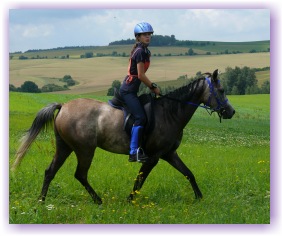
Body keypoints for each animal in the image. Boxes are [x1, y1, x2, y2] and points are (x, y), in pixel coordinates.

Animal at [12, 68, 235, 205]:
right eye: (222, 90)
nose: (231, 112)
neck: (170, 112)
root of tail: (64, 106)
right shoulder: (153, 157)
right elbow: (139, 180)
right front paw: (130, 201)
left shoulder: (169, 153)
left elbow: (189, 173)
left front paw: (200, 197)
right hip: (85, 149)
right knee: (80, 174)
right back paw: (98, 200)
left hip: (64, 147)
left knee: (50, 171)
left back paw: (41, 201)